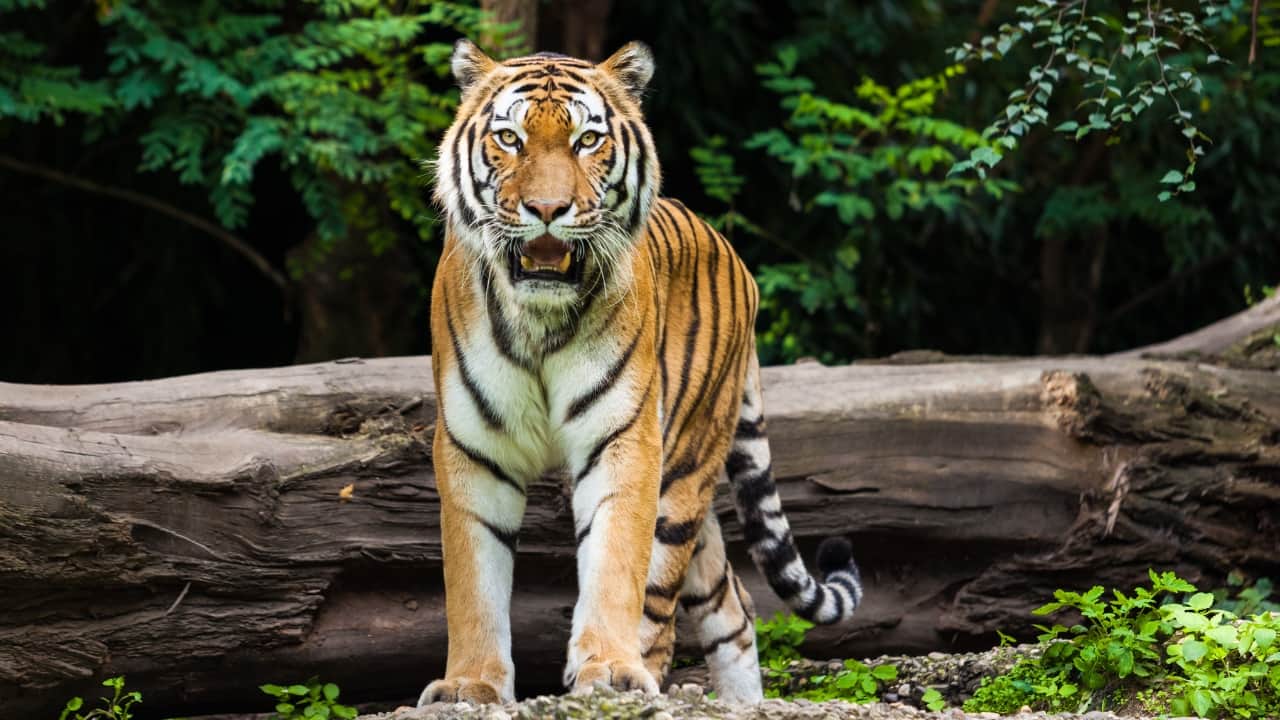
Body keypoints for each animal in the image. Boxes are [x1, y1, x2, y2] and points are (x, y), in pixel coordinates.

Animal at [420, 39, 864, 706]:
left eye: (585, 140)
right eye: (509, 138)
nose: (546, 209)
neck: (540, 320)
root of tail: (733, 254)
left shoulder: (625, 439)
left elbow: (614, 565)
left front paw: (606, 669)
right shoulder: (474, 449)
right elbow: (473, 581)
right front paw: (470, 684)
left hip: (683, 472)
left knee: (666, 603)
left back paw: (648, 679)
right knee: (733, 602)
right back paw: (740, 702)